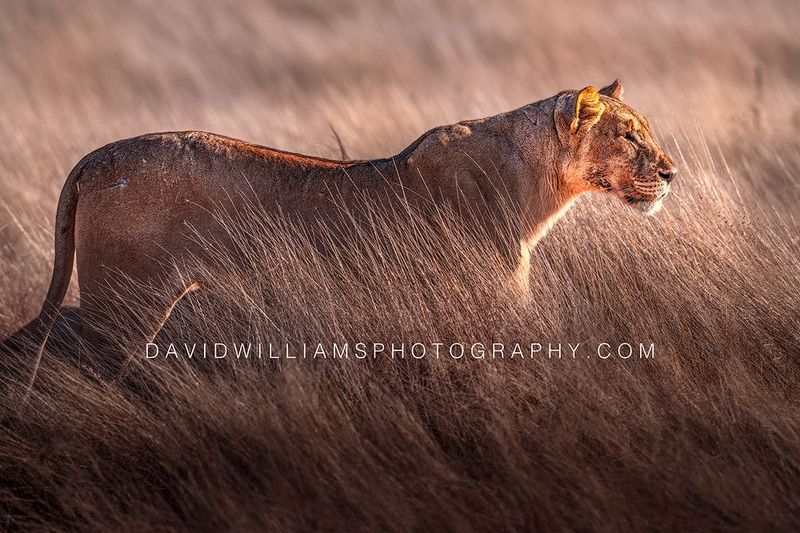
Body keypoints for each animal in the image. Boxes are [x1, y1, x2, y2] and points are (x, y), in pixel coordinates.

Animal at [5, 80, 676, 386]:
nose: (672, 173)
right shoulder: (493, 301)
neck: (537, 182)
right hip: (126, 302)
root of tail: (94, 157)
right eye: (629, 136)